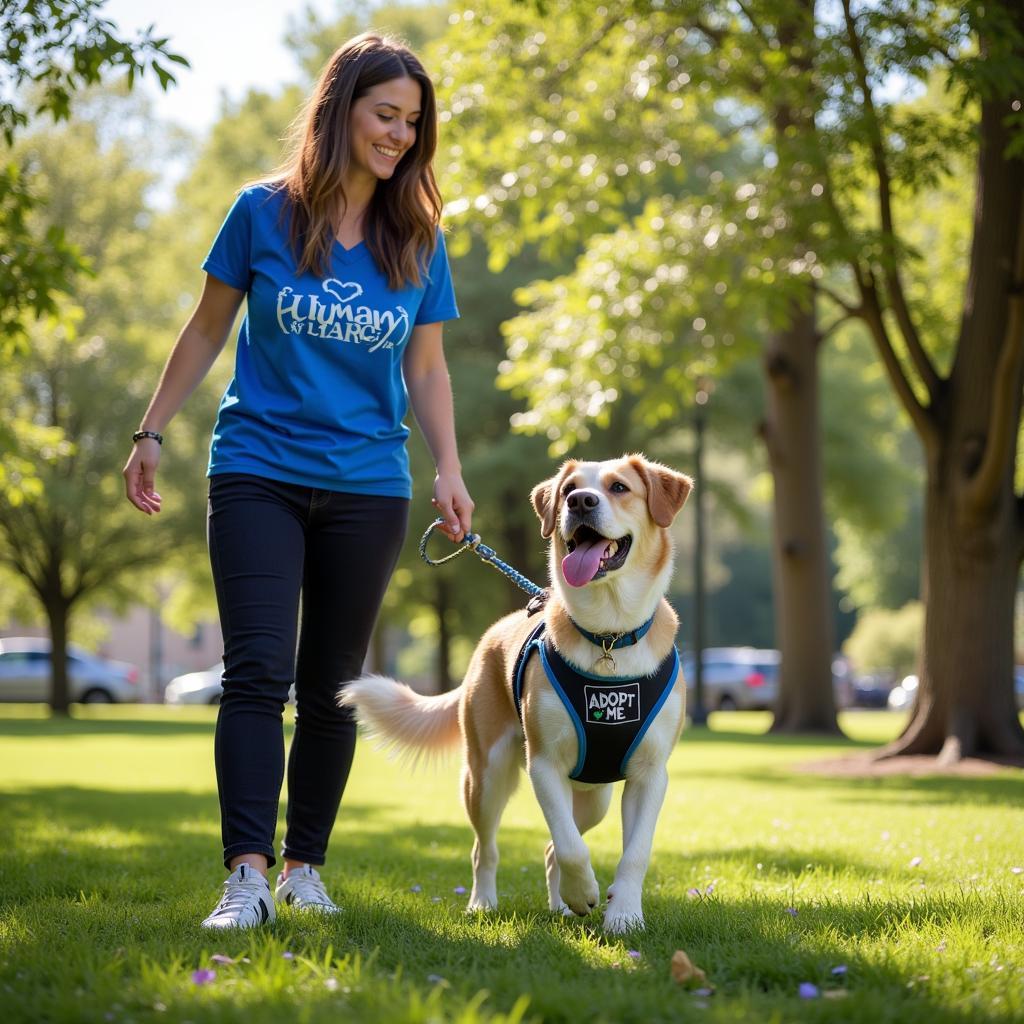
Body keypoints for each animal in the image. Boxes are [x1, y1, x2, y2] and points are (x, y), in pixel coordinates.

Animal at [339, 452, 692, 933]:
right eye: (569, 490)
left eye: (619, 487)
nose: (580, 502)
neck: (609, 635)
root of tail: (492, 632)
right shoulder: (544, 764)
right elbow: (571, 847)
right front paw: (585, 892)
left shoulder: (650, 774)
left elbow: (633, 853)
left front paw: (623, 916)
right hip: (485, 776)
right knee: (488, 848)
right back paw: (486, 903)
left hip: (594, 796)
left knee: (549, 848)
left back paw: (562, 905)